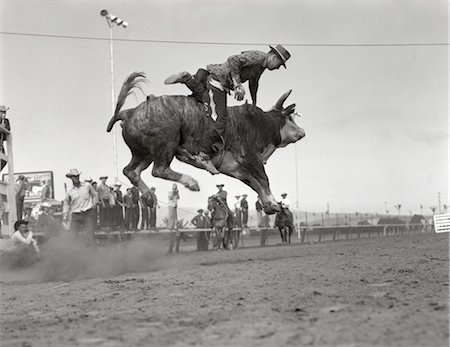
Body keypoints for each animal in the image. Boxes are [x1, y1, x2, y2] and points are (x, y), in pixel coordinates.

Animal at [107, 72, 304, 215]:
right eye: (290, 118)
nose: (302, 133)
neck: (258, 123)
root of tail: (128, 112)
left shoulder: (237, 169)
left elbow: (254, 183)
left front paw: (270, 205)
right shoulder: (250, 157)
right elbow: (263, 179)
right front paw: (273, 203)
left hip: (143, 153)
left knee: (131, 171)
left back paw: (149, 196)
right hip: (166, 143)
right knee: (159, 170)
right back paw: (191, 182)